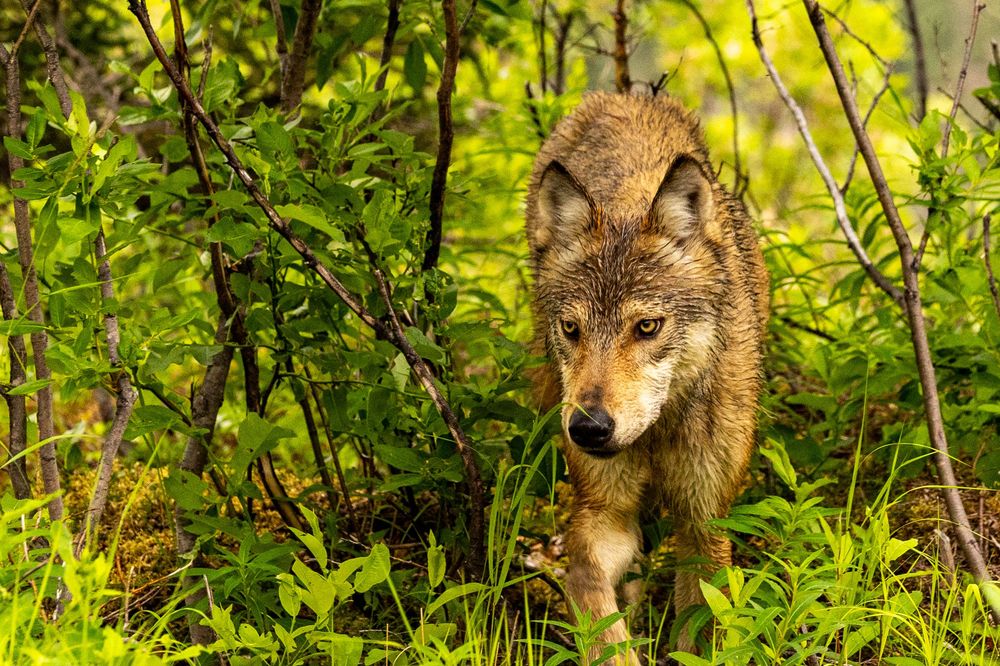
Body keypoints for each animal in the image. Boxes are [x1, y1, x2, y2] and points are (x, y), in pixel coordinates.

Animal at [525, 92, 769, 660]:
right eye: (571, 328)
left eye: (647, 326)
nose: (589, 428)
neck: (657, 434)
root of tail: (622, 95)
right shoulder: (601, 512)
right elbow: (595, 605)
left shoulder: (705, 522)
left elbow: (700, 626)